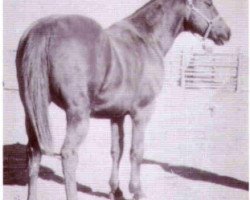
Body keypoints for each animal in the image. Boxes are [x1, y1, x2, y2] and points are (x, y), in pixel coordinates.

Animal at [15, 0, 230, 200]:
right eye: (209, 3)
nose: (227, 33)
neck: (147, 39)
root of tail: (44, 29)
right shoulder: (142, 113)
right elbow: (136, 152)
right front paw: (137, 191)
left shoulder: (116, 115)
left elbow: (116, 150)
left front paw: (115, 191)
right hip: (78, 114)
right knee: (68, 155)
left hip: (31, 111)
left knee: (34, 152)